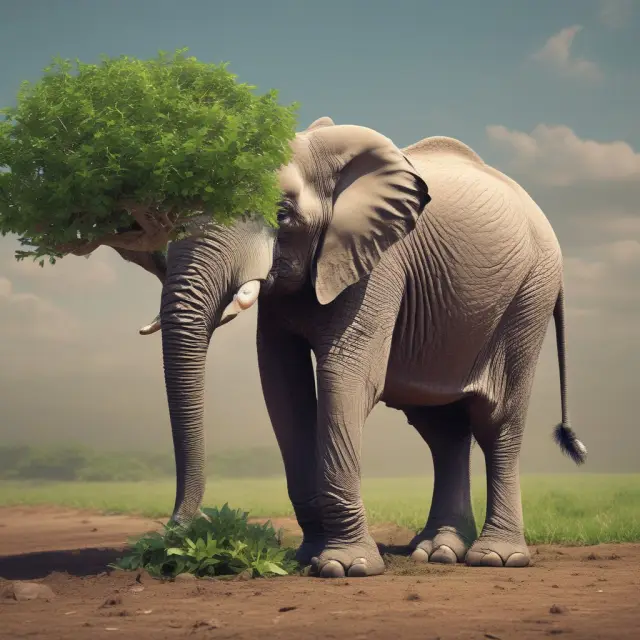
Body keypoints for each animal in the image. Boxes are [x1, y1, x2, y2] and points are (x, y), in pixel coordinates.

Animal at [135, 116, 587, 578]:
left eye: (282, 215)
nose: (179, 535)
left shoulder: (380, 262)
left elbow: (345, 374)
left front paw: (344, 567)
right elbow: (282, 385)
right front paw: (306, 558)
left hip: (530, 294)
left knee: (497, 420)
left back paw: (497, 557)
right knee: (442, 429)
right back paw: (438, 551)